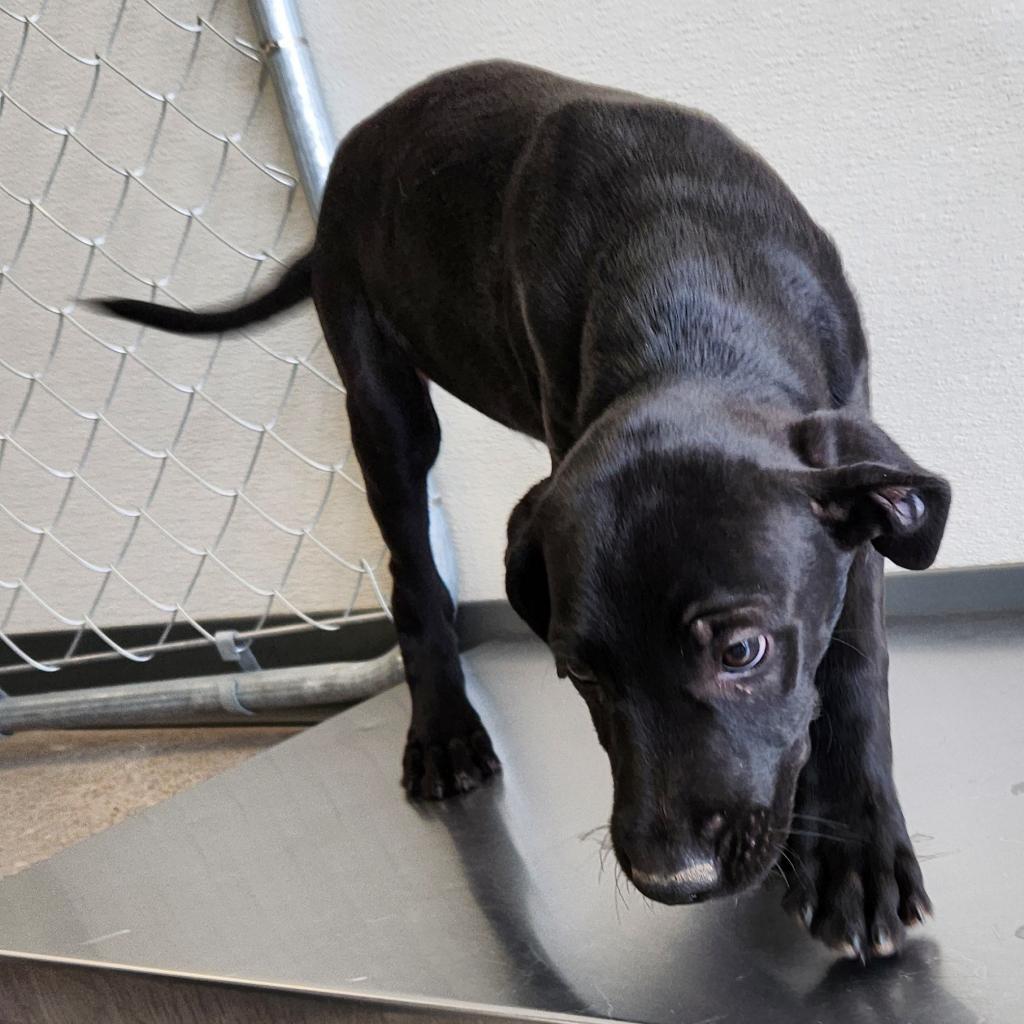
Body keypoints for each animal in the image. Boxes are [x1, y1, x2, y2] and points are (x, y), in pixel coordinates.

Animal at [92, 61, 946, 958]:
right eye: (579, 672)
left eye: (740, 651)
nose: (671, 878)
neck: (695, 298)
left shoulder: (855, 453)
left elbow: (855, 663)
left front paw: (853, 852)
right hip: (384, 401)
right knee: (413, 576)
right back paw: (444, 732)